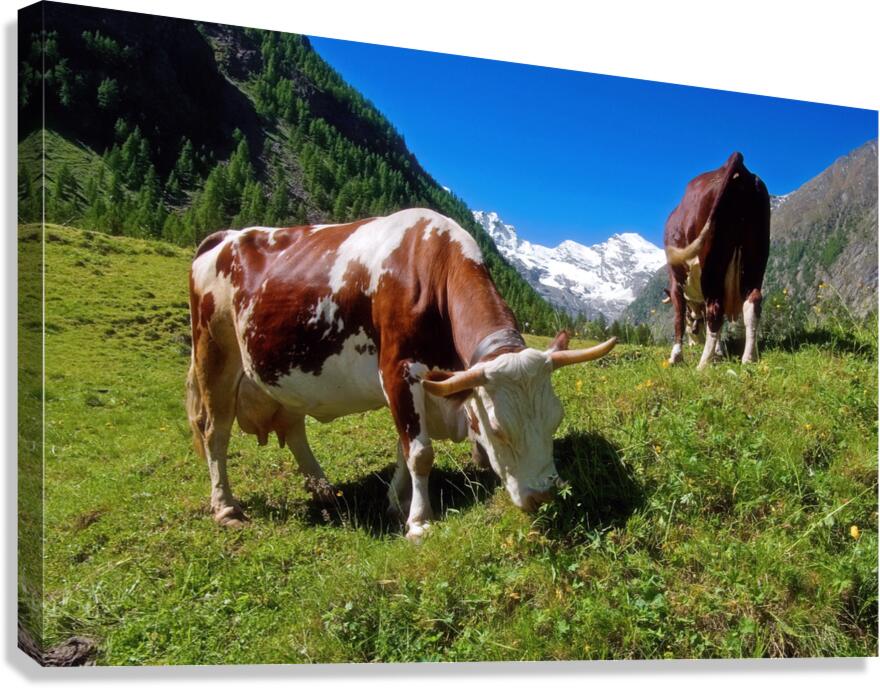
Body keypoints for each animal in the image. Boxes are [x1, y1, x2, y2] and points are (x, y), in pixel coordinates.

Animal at [187, 208, 617, 541]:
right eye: (498, 429)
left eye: (555, 419)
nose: (544, 495)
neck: (431, 265)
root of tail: (225, 237)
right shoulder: (397, 369)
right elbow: (420, 451)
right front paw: (419, 521)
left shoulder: (423, 382)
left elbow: (402, 445)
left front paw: (397, 501)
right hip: (215, 353)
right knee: (214, 431)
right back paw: (226, 508)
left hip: (281, 374)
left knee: (293, 427)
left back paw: (324, 491)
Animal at [663, 152, 770, 369]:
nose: (694, 339)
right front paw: (719, 353)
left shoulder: (676, 281)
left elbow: (678, 317)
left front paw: (676, 356)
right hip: (755, 258)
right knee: (752, 302)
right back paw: (748, 358)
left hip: (711, 264)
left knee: (715, 310)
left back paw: (702, 364)